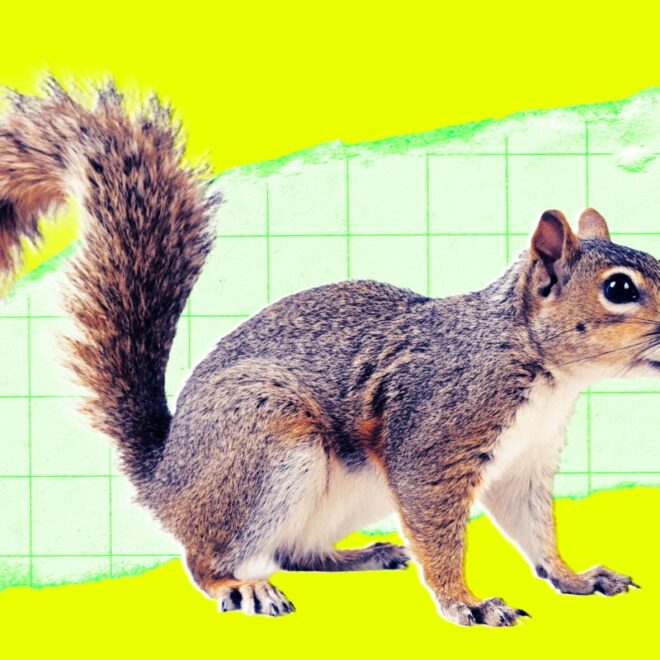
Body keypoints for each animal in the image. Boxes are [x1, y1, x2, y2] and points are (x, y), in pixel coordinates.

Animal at [0, 79, 656, 626]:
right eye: (620, 289)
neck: (544, 371)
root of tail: (165, 477)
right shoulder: (435, 436)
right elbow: (440, 533)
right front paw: (466, 603)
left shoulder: (524, 460)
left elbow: (534, 531)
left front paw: (577, 577)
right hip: (266, 448)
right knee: (208, 560)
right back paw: (240, 587)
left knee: (296, 551)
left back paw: (362, 556)